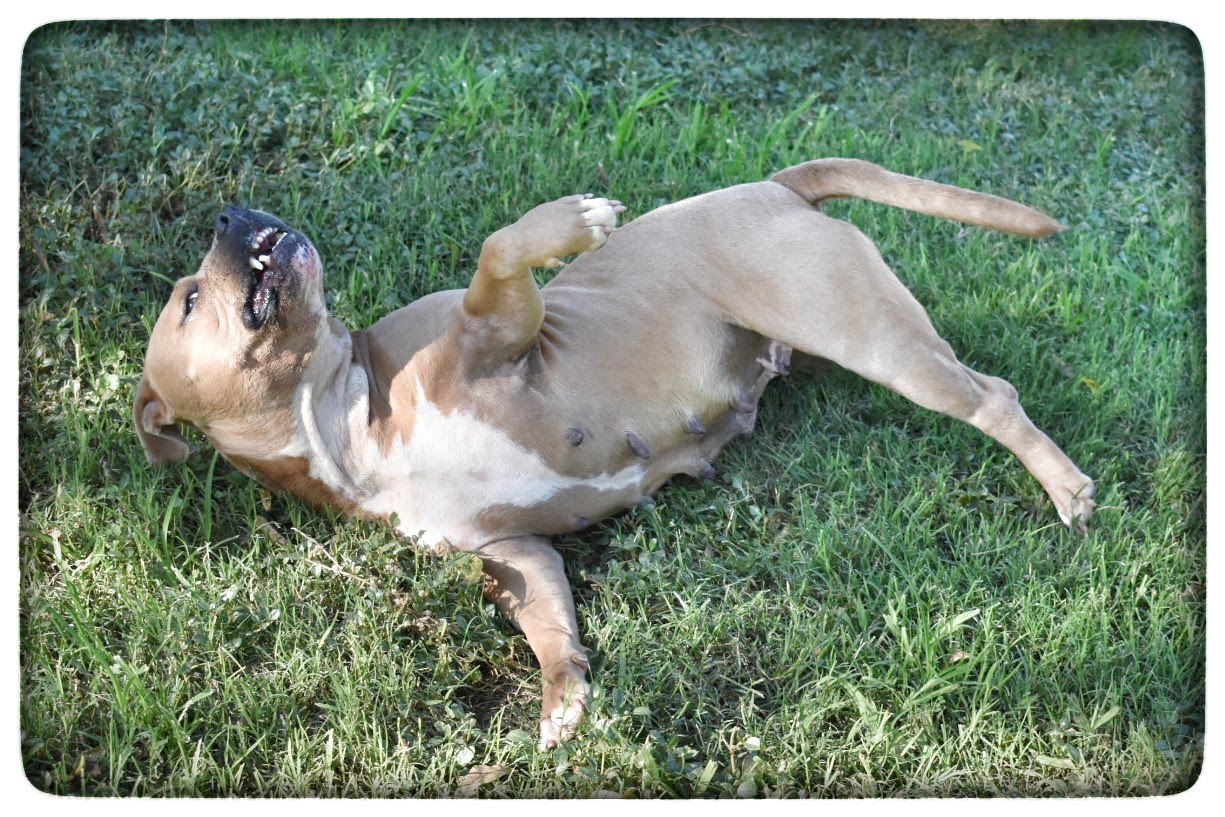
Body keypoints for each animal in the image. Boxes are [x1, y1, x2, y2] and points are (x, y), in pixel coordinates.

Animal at [134, 158, 1095, 748]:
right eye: (190, 303)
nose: (231, 211)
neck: (340, 421)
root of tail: (774, 185)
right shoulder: (511, 552)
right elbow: (547, 620)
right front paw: (564, 700)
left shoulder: (500, 329)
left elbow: (498, 248)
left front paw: (574, 218)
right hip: (838, 338)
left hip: (864, 333)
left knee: (990, 396)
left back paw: (1063, 487)